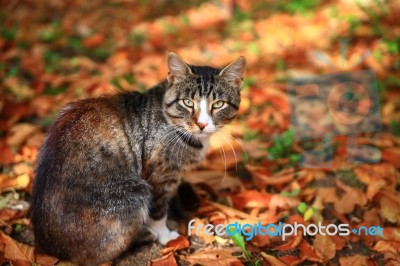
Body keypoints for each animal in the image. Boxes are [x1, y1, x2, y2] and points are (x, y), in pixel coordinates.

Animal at [31, 52, 245, 266]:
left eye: (218, 104)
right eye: (187, 102)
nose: (202, 124)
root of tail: (51, 249)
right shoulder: (158, 175)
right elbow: (158, 210)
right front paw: (165, 235)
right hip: (135, 191)